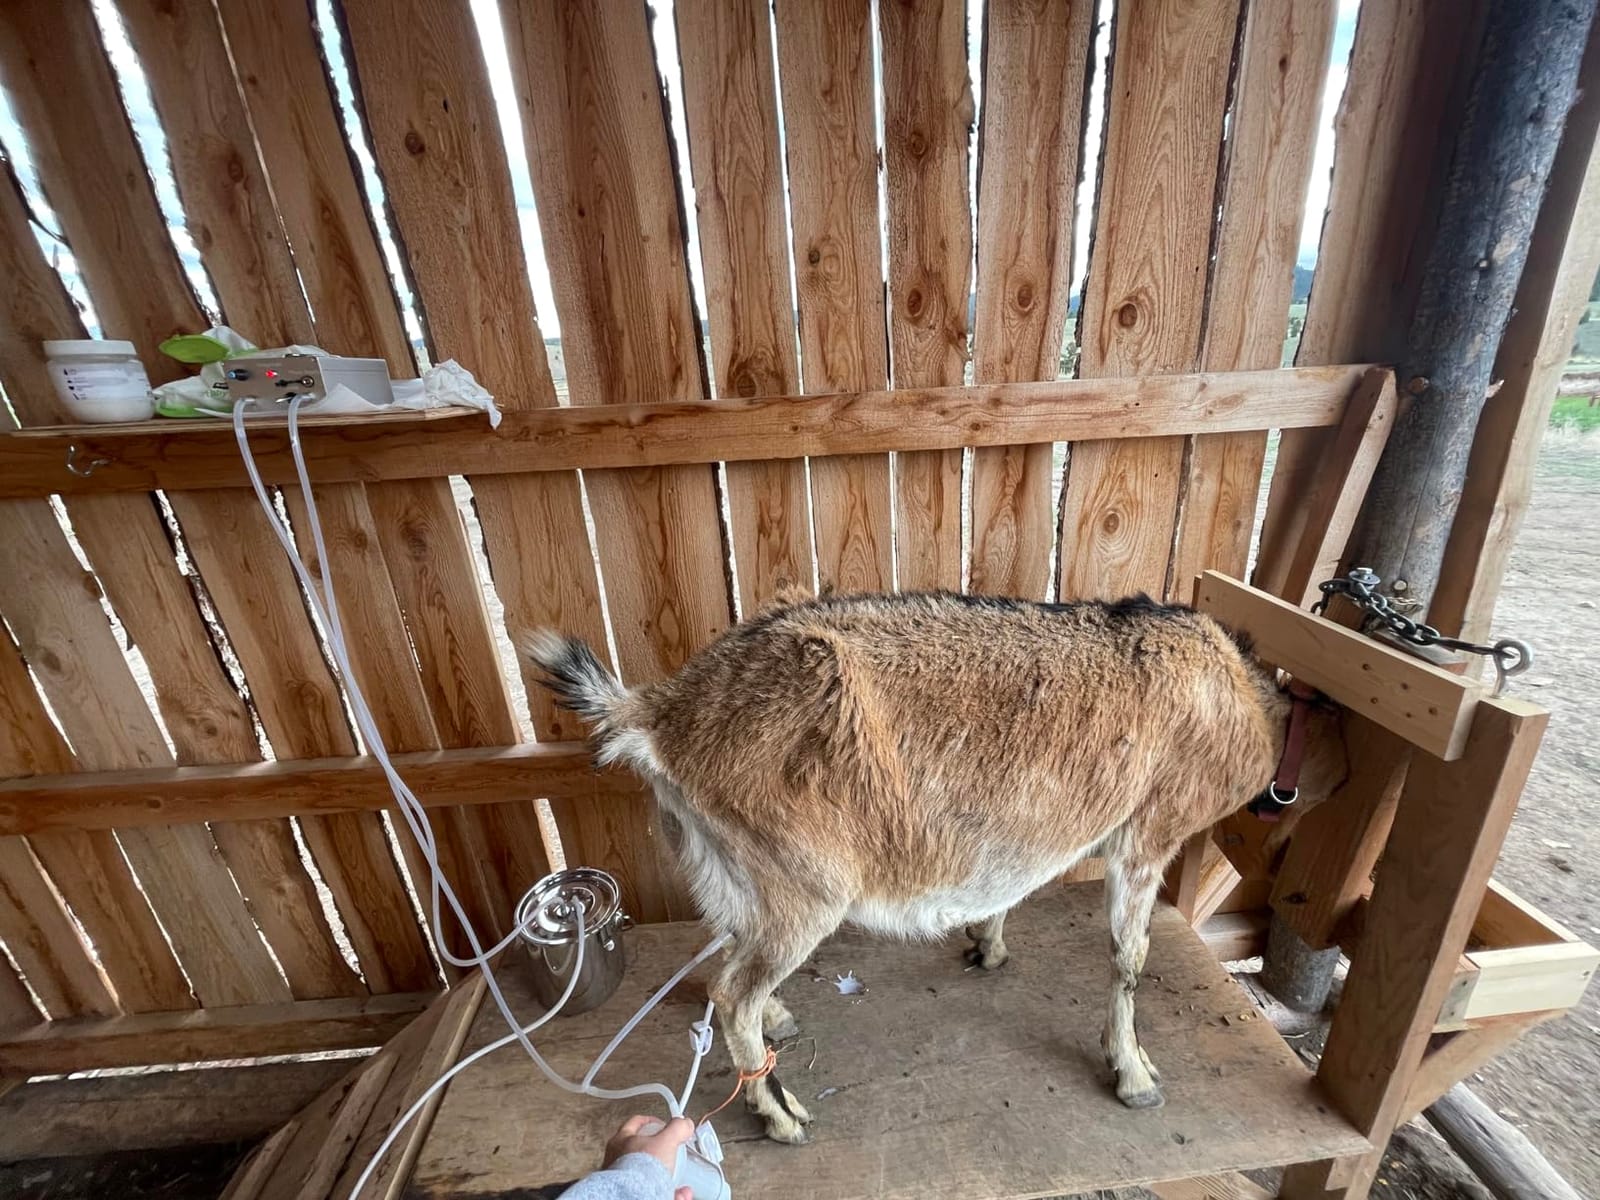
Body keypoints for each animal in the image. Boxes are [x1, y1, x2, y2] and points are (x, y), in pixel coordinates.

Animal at [524, 590, 1346, 1144]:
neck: (1242, 698)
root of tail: (659, 716)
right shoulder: (1149, 833)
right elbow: (1129, 955)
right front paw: (1134, 1072)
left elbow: (1018, 881)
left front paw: (989, 943)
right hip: (805, 881)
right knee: (731, 991)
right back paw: (781, 1115)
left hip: (725, 859)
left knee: (730, 957)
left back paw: (778, 1020)